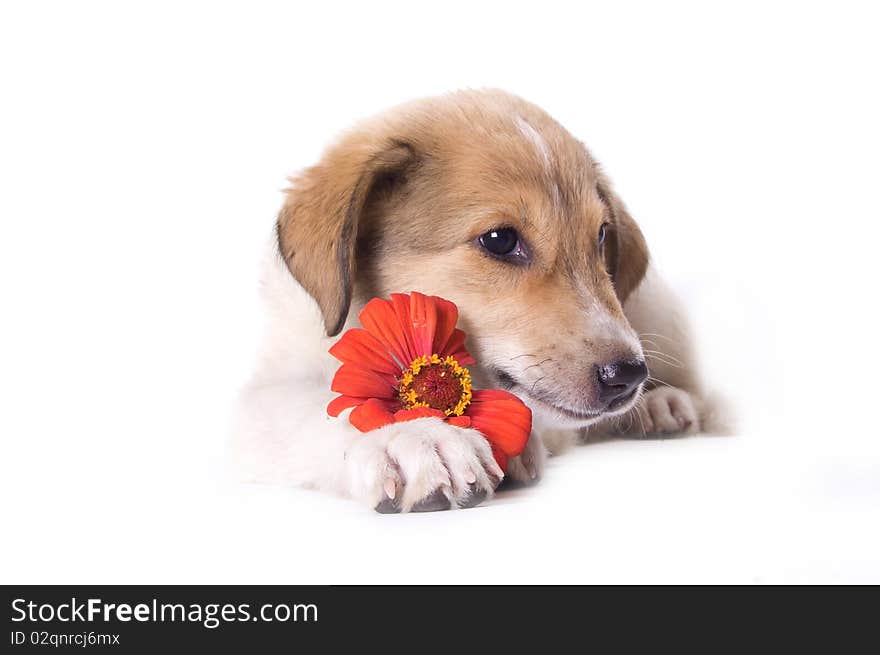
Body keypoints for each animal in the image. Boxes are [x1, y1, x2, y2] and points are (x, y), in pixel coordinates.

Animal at [230, 88, 704, 512]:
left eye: (603, 235)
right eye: (500, 240)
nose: (627, 376)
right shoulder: (262, 397)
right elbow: (324, 406)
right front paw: (414, 438)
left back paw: (659, 404)